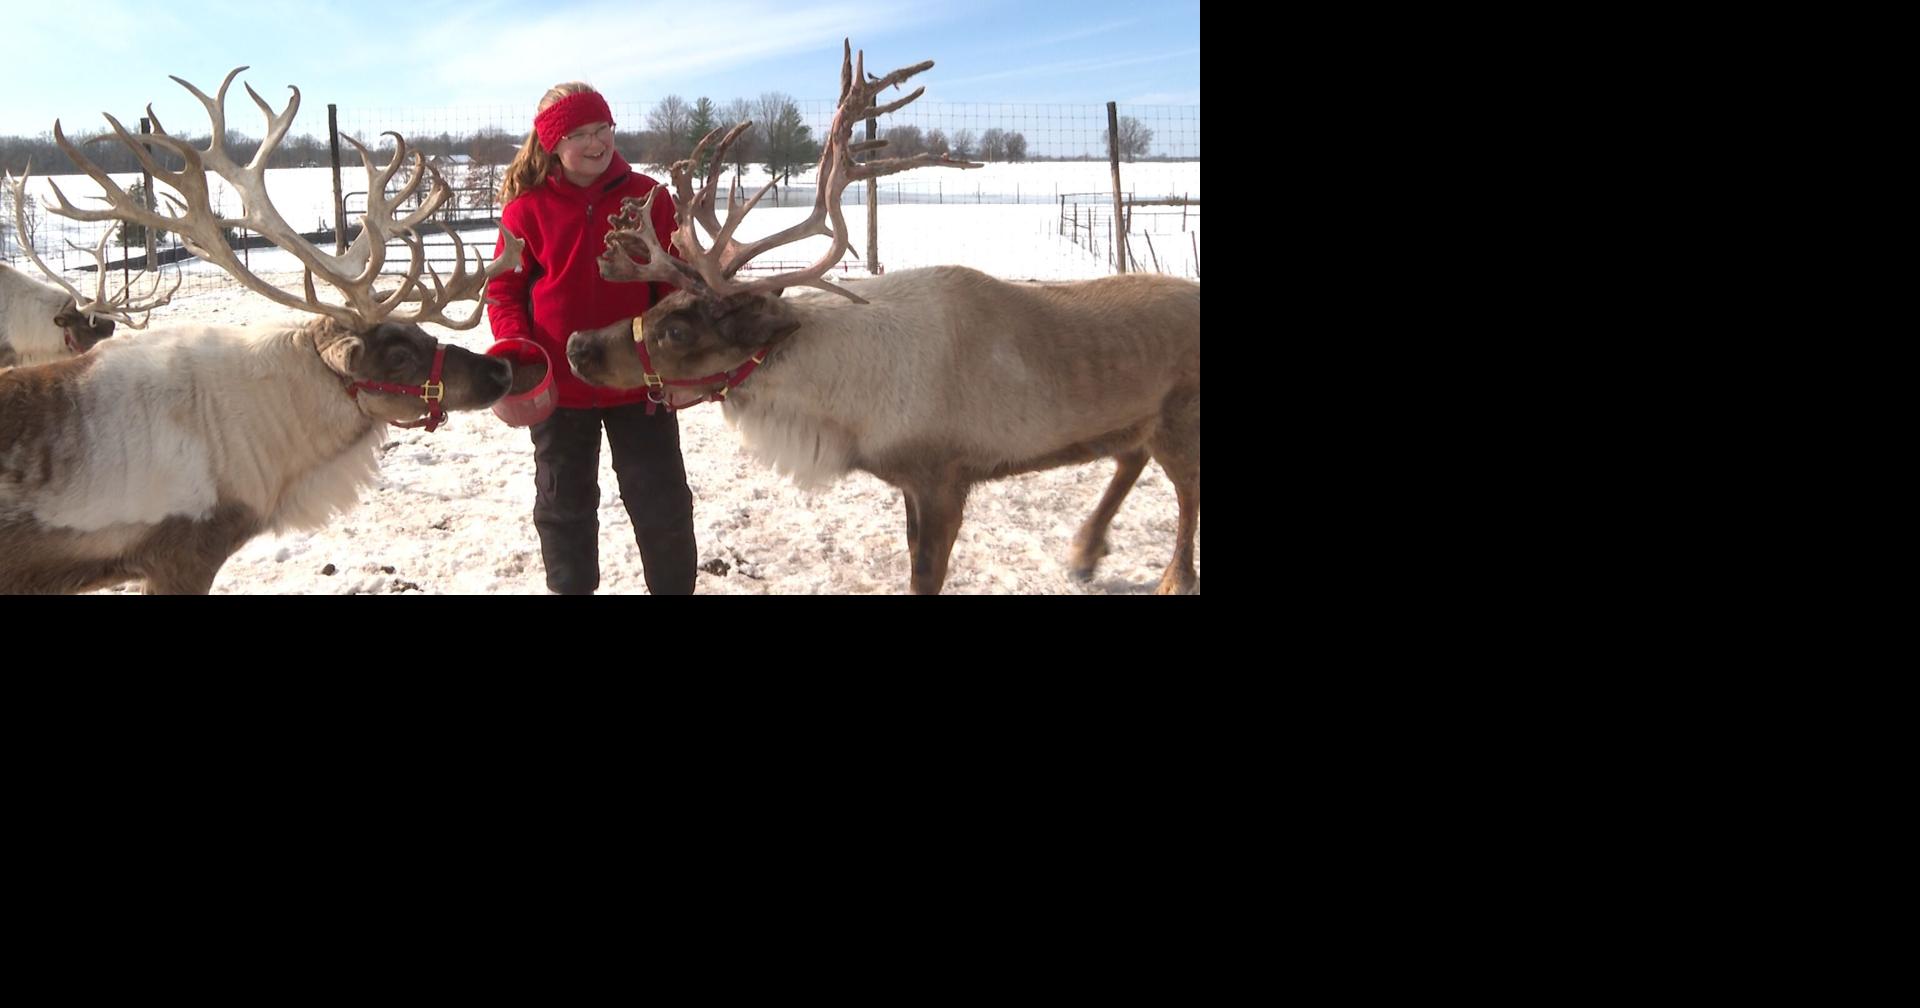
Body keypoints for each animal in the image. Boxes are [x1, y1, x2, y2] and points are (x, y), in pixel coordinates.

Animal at [564, 41, 1199, 595]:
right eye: (659, 304)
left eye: (678, 329)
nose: (576, 345)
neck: (841, 406)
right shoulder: (910, 484)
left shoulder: (943, 478)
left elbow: (926, 577)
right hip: (1137, 418)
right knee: (1131, 456)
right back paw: (1086, 552)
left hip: (1178, 418)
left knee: (1185, 490)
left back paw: (1172, 577)